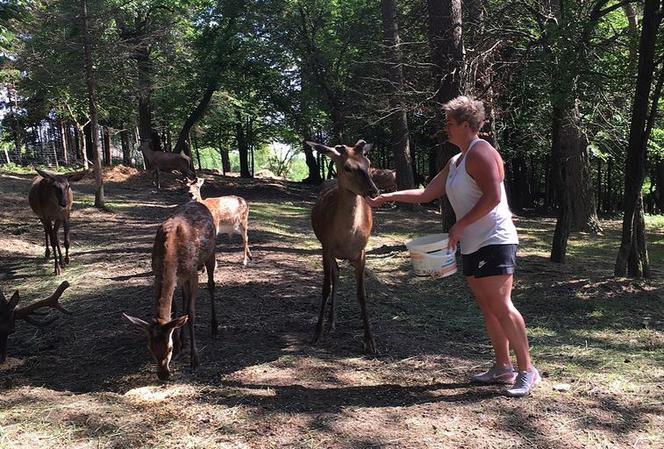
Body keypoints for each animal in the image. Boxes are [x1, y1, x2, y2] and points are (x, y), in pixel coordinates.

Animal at [123, 201, 217, 380]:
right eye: (150, 348)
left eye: (169, 348)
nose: (163, 374)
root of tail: (199, 202)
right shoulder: (160, 274)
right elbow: (174, 309)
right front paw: (180, 342)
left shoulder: (192, 273)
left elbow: (191, 313)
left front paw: (194, 359)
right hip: (182, 280)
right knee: (184, 297)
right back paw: (184, 337)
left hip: (211, 254)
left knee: (211, 285)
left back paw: (214, 327)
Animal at [304, 138, 378, 352]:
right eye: (348, 167)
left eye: (368, 164)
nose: (373, 191)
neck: (347, 237)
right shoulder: (327, 247)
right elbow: (325, 288)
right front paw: (316, 333)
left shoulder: (362, 252)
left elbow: (362, 294)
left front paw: (370, 341)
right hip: (325, 248)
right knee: (335, 276)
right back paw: (330, 323)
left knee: (337, 274)